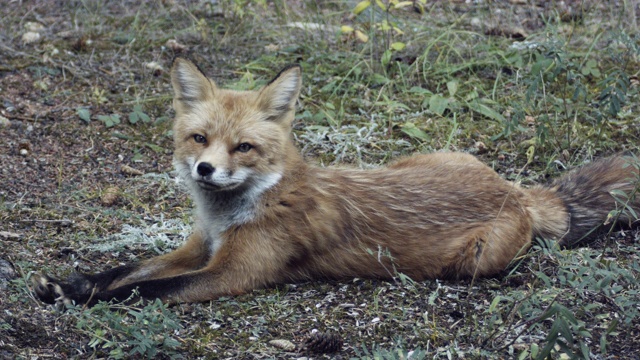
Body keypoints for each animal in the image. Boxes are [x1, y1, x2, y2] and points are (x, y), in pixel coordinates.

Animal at [33, 57, 636, 306]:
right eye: (199, 139)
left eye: (243, 147)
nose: (206, 170)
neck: (236, 210)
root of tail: (515, 191)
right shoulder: (199, 248)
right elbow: (127, 270)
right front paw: (73, 285)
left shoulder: (231, 273)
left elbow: (144, 289)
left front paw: (86, 301)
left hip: (475, 260)